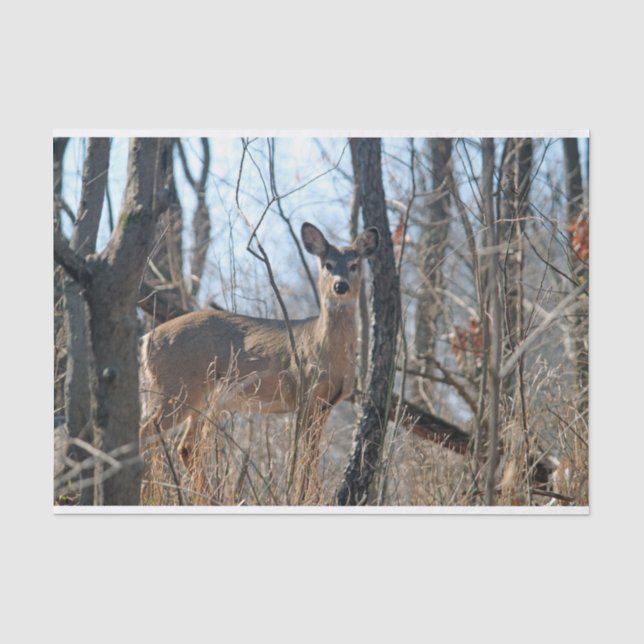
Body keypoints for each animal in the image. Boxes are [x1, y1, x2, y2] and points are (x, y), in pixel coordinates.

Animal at [139, 222, 380, 502]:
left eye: (354, 264)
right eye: (328, 264)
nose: (340, 286)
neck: (325, 349)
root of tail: (147, 340)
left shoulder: (326, 404)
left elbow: (312, 453)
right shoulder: (306, 392)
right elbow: (305, 454)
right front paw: (303, 497)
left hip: (197, 397)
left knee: (185, 446)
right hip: (178, 387)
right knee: (149, 432)